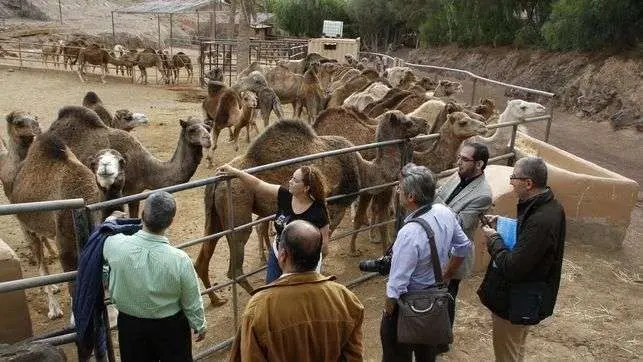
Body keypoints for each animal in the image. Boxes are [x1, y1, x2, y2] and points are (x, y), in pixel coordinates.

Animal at [46, 106, 211, 216]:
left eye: (208, 127)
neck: (147, 169)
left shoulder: (136, 194)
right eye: (191, 130)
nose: (208, 139)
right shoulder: (127, 192)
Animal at [196, 110, 428, 306]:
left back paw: (217, 299)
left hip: (214, 215)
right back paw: (253, 292)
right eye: (407, 121)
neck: (363, 170)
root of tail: (217, 181)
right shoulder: (334, 207)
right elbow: (322, 250)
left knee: (204, 255)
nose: (425, 123)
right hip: (237, 204)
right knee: (235, 261)